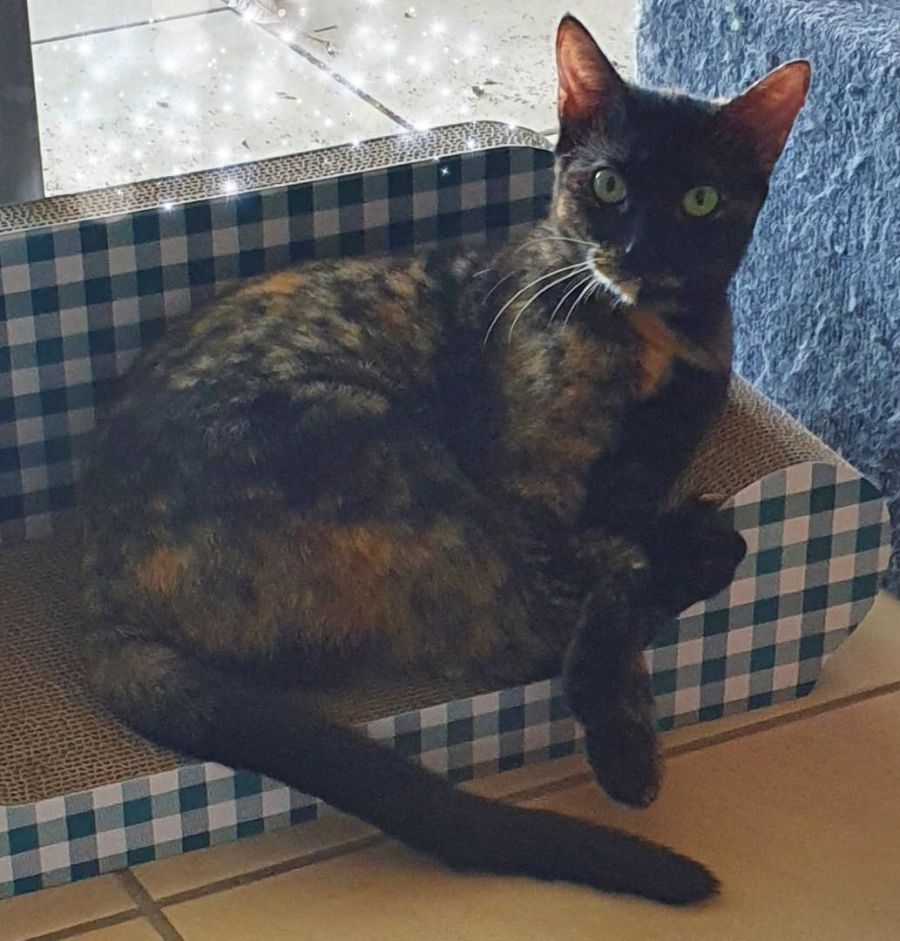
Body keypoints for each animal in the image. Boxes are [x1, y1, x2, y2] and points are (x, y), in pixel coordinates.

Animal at [79, 16, 809, 905]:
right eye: (607, 185)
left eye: (699, 199)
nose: (640, 249)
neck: (654, 338)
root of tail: (96, 593)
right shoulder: (528, 488)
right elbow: (612, 576)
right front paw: (625, 743)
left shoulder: (653, 456)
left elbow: (620, 543)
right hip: (383, 442)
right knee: (520, 633)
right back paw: (701, 550)